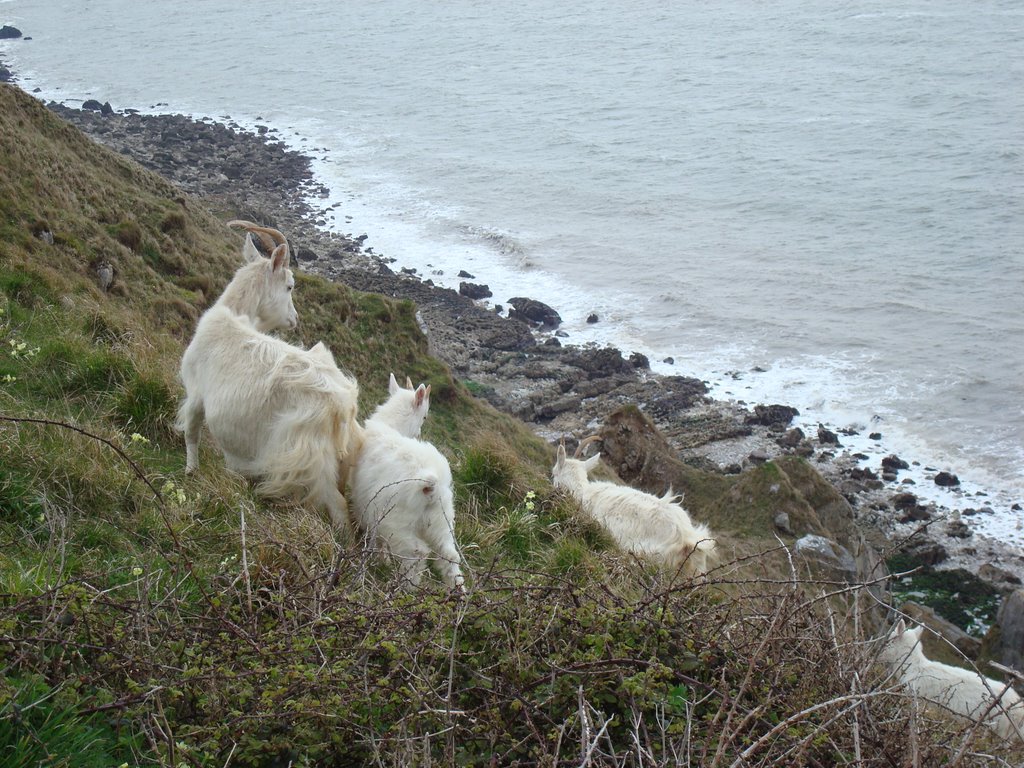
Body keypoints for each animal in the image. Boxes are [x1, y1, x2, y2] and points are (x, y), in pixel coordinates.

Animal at [177, 222, 364, 532]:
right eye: (289, 286)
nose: (295, 319)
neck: (231, 316)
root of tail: (343, 406)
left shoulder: (195, 394)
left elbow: (191, 433)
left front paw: (191, 470)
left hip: (308, 462)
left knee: (337, 507)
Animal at [350, 376, 466, 593]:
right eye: (425, 417)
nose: (419, 433)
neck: (389, 425)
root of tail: (431, 484)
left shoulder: (370, 510)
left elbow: (377, 540)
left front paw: (381, 560)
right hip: (442, 521)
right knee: (450, 556)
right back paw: (459, 594)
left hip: (397, 523)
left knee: (417, 552)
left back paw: (406, 588)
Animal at [880, 622, 1024, 741]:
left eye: (888, 641)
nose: (879, 652)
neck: (913, 667)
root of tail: (1020, 710)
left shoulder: (916, 700)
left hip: (997, 729)